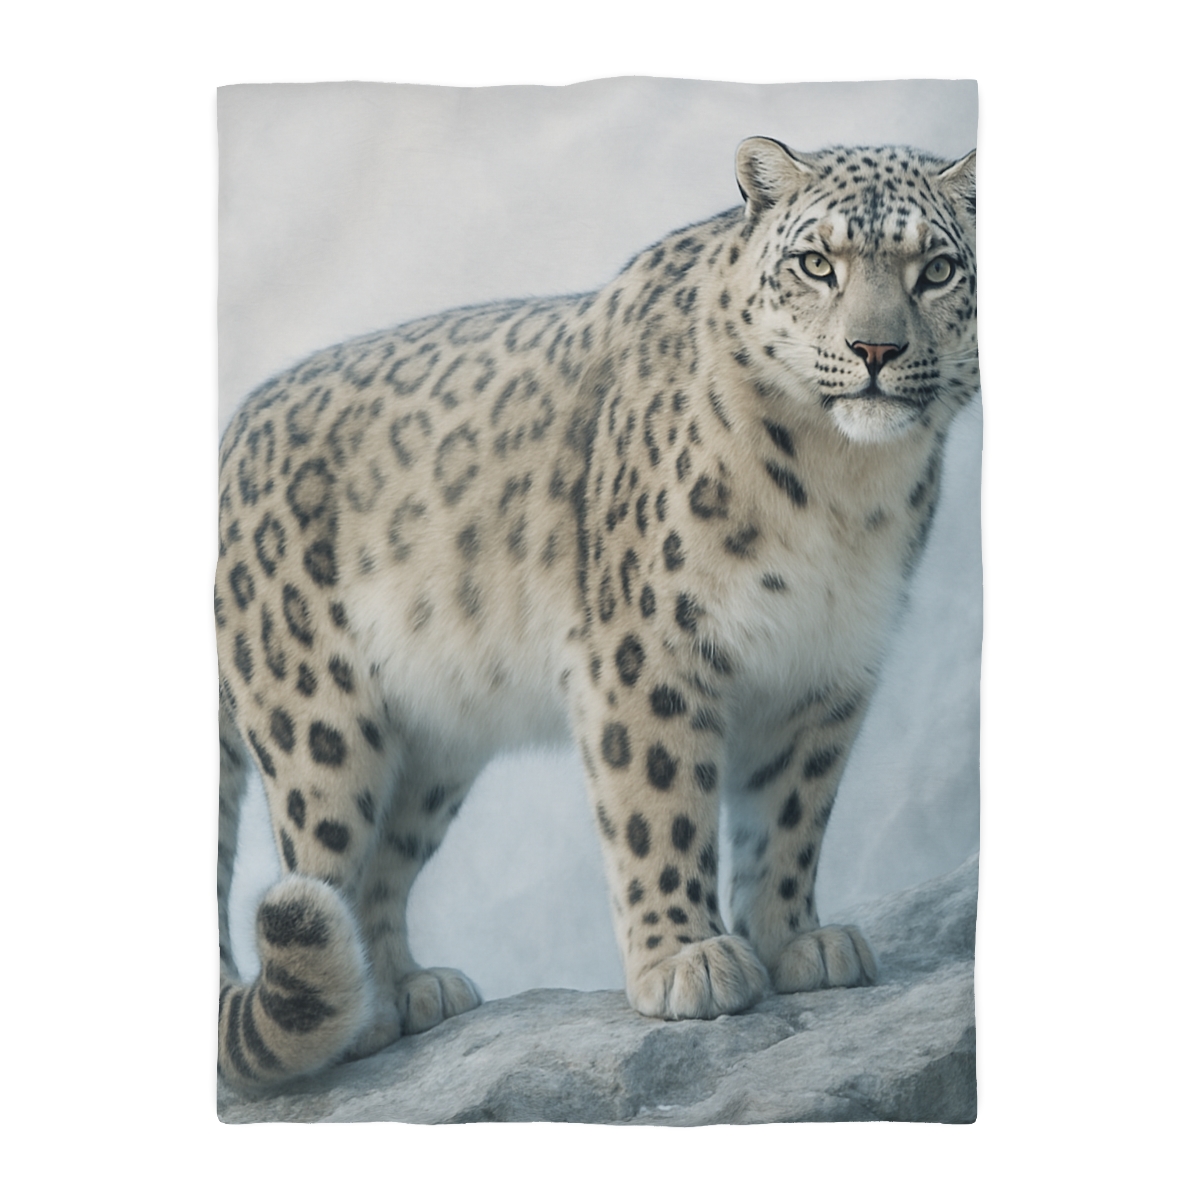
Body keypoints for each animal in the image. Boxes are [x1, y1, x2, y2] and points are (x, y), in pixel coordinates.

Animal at [216, 136, 978, 1092]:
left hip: (434, 745)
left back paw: (410, 988)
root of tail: (230, 434)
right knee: (324, 865)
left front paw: (798, 940)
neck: (845, 490)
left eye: (938, 269)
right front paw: (688, 960)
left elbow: (792, 815)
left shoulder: (829, 668)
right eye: (817, 262)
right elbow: (661, 803)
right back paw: (357, 1021)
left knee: (387, 860)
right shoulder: (648, 647)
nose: (875, 348)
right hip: (318, 723)